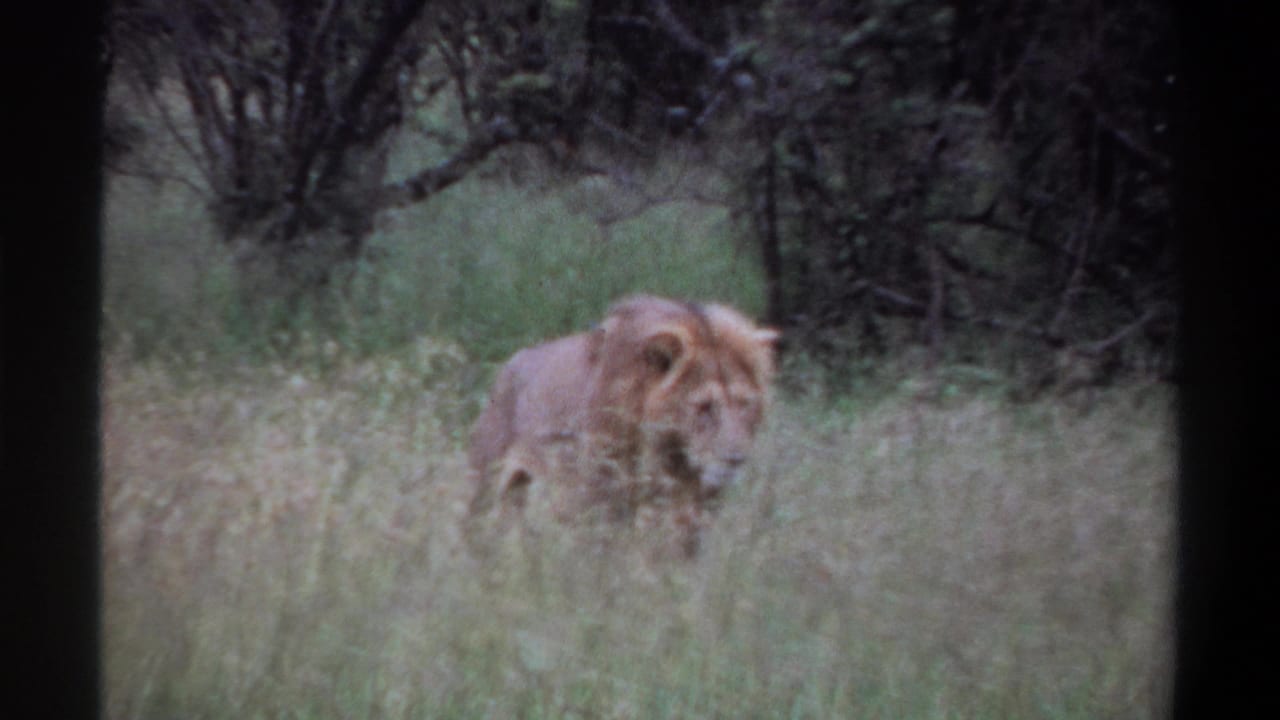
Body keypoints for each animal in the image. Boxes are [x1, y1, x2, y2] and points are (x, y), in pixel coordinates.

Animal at [466, 295, 778, 555]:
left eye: (745, 403)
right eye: (704, 407)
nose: (735, 459)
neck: (669, 454)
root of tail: (508, 367)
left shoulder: (693, 508)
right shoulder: (599, 496)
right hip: (485, 485)